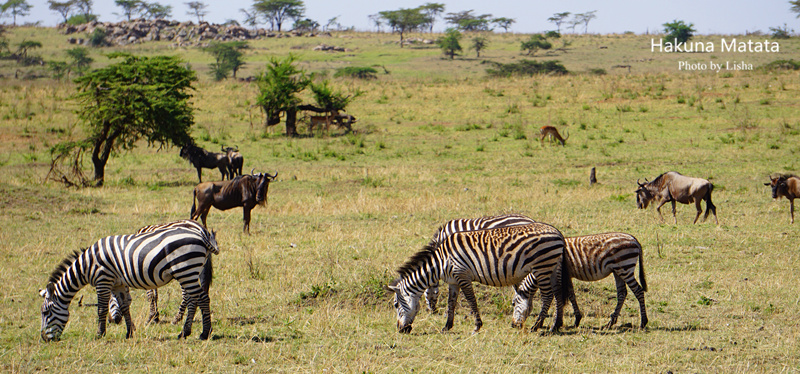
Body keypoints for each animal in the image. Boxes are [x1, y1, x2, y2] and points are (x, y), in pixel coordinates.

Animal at [39, 225, 217, 342]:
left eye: (46, 312)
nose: (43, 339)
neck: (87, 265)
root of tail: (202, 234)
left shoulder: (103, 280)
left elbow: (101, 309)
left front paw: (99, 334)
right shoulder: (117, 284)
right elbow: (125, 306)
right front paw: (129, 332)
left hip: (185, 269)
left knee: (202, 298)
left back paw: (204, 333)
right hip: (189, 271)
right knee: (194, 299)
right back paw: (185, 333)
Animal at [388, 222, 568, 334]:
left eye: (396, 305)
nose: (401, 330)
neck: (441, 262)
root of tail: (558, 232)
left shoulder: (462, 275)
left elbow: (471, 300)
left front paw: (477, 326)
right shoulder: (453, 281)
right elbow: (451, 303)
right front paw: (447, 327)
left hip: (542, 267)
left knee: (547, 296)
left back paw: (536, 326)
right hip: (552, 267)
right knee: (558, 295)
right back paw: (555, 326)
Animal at [512, 232, 648, 328]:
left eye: (513, 303)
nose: (513, 325)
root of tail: (633, 239)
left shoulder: (559, 274)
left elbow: (559, 295)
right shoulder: (567, 276)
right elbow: (572, 295)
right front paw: (577, 319)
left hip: (625, 268)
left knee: (638, 291)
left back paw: (643, 322)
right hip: (618, 271)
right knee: (622, 293)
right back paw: (610, 323)